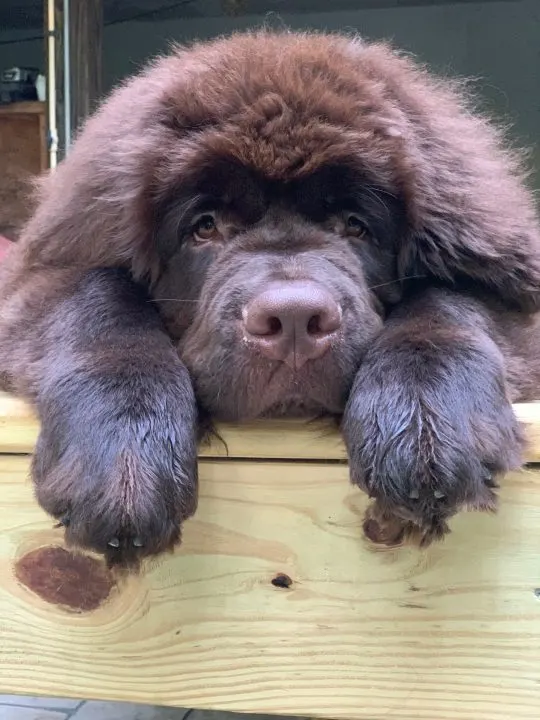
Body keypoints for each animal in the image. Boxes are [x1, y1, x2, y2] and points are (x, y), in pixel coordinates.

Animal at [1, 29, 540, 568]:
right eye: (205, 227)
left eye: (355, 225)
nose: (295, 319)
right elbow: (96, 295)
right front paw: (124, 452)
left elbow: (448, 297)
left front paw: (424, 422)